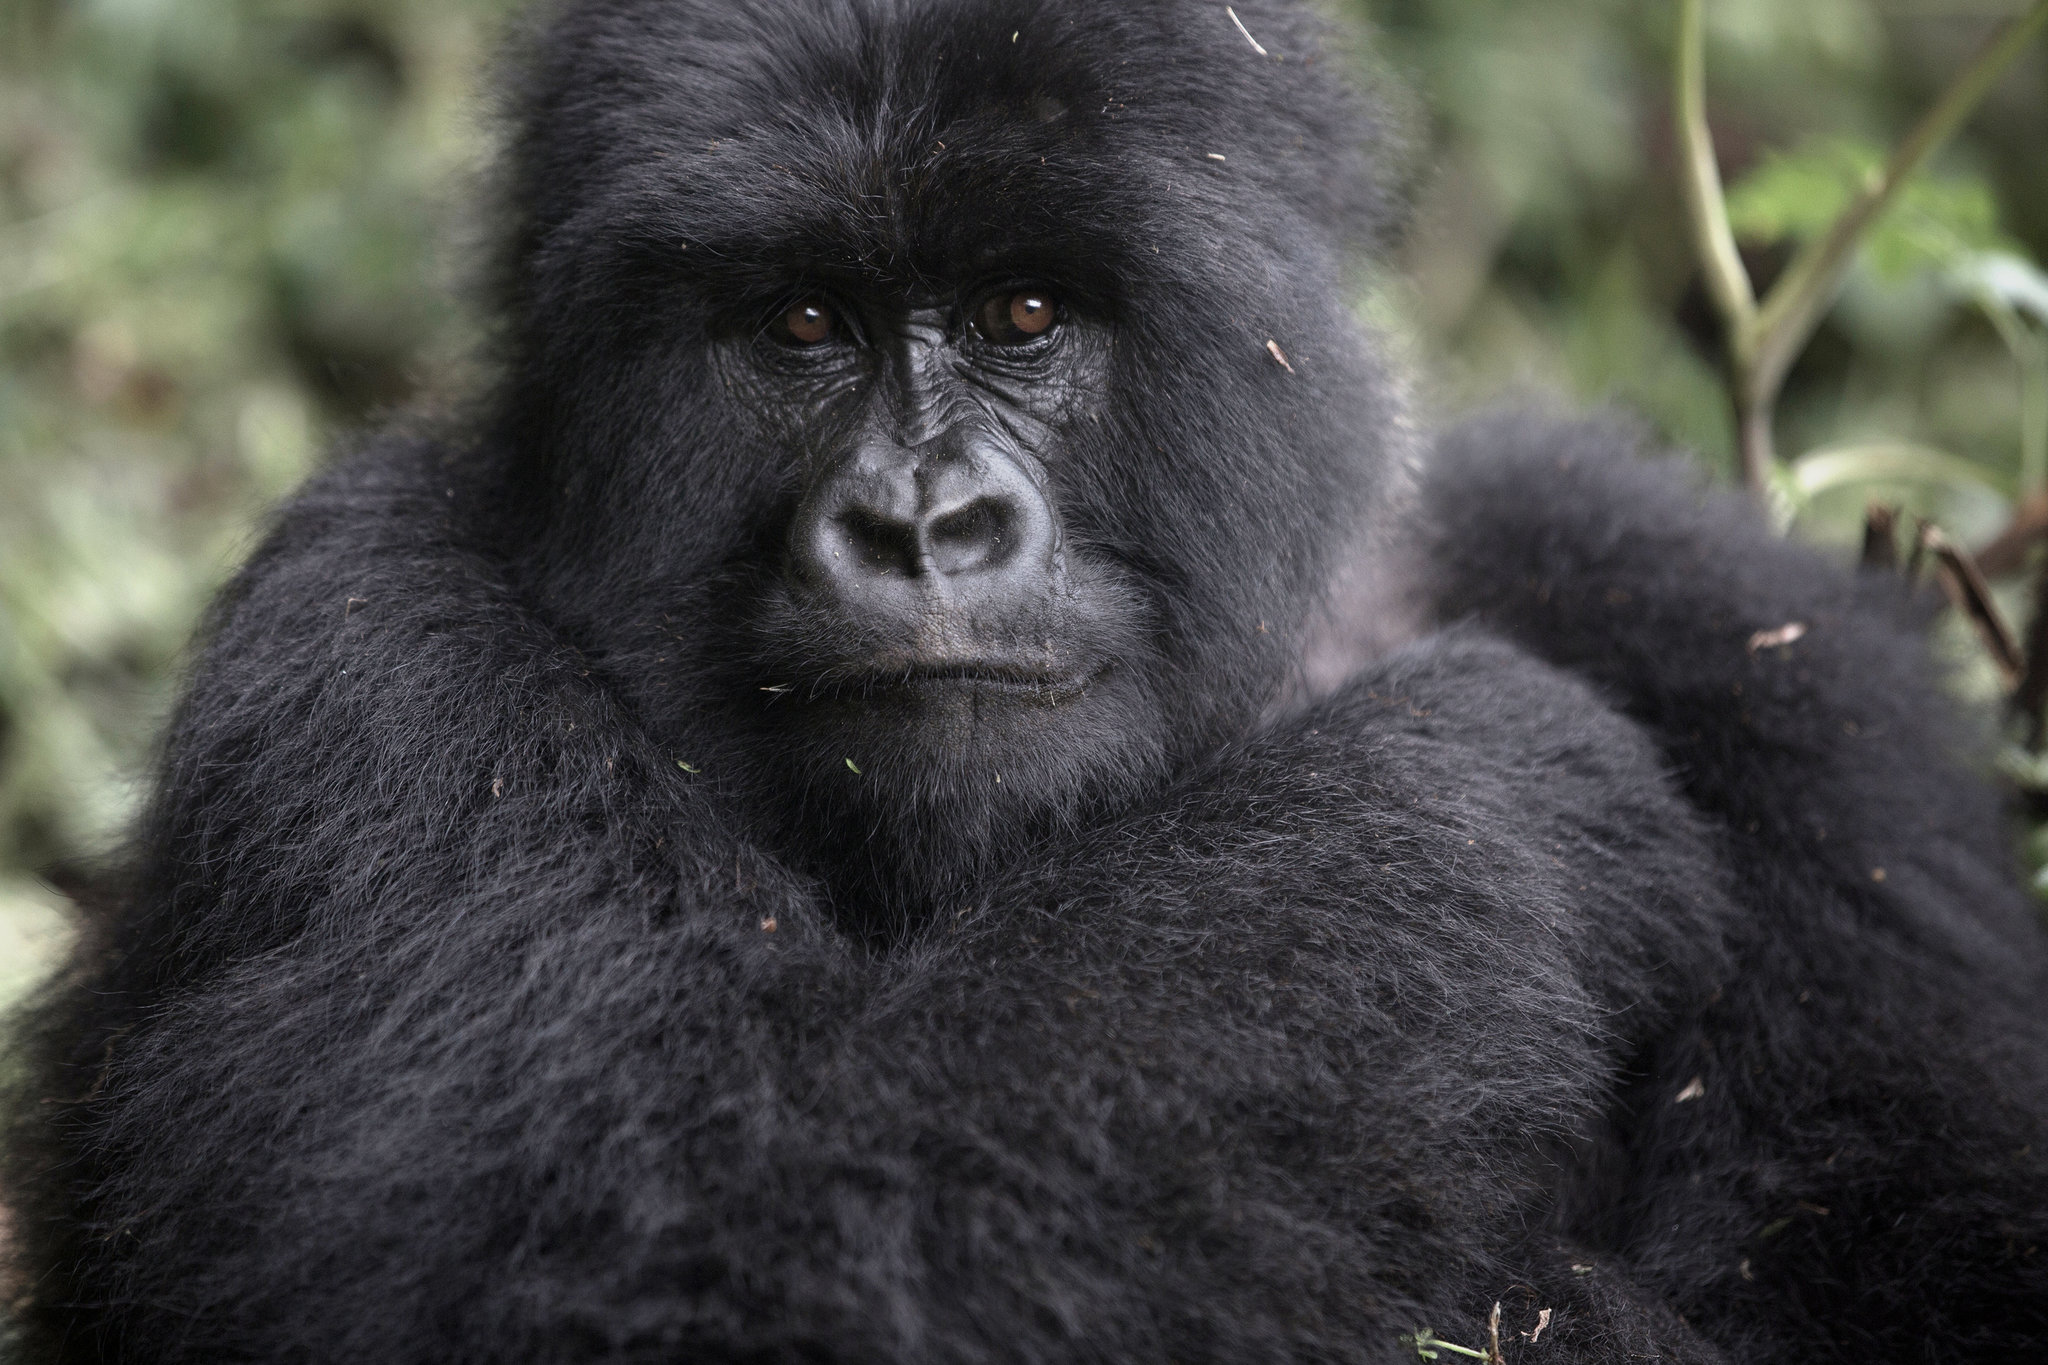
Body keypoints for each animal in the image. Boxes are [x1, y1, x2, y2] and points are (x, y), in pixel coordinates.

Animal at [4, 0, 2048, 1358]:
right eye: (801, 324)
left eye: (1025, 312)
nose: (921, 526)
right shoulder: (359, 658)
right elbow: (622, 1257)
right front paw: (1475, 803)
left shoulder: (1722, 618)